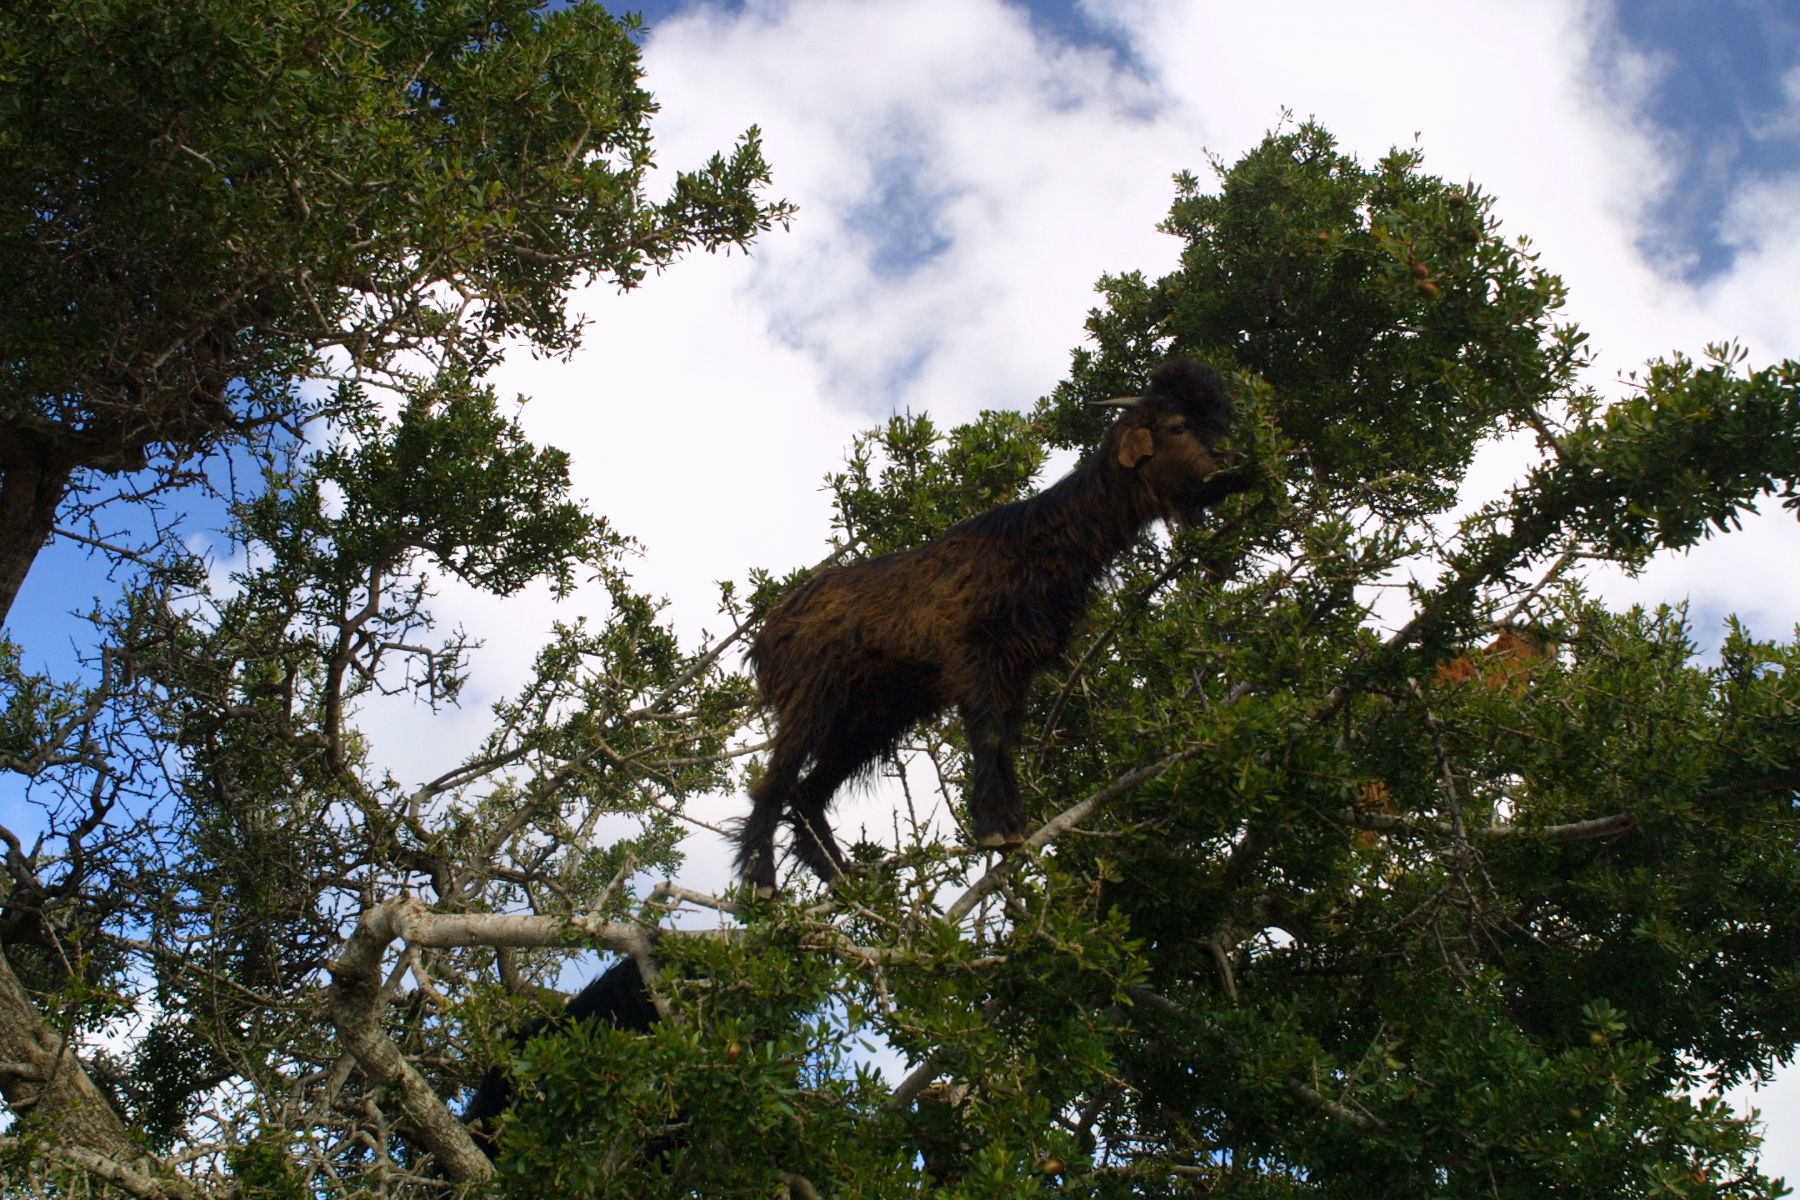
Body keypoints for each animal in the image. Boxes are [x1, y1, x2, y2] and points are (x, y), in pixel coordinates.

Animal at [730, 356, 1252, 892]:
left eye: (1219, 420)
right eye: (1178, 426)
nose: (1240, 467)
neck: (1036, 545)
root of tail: (767, 634)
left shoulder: (1018, 665)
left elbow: (1008, 741)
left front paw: (1015, 826)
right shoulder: (972, 653)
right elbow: (989, 736)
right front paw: (992, 829)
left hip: (871, 717)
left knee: (809, 793)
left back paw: (843, 877)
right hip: (813, 698)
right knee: (774, 781)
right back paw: (763, 879)